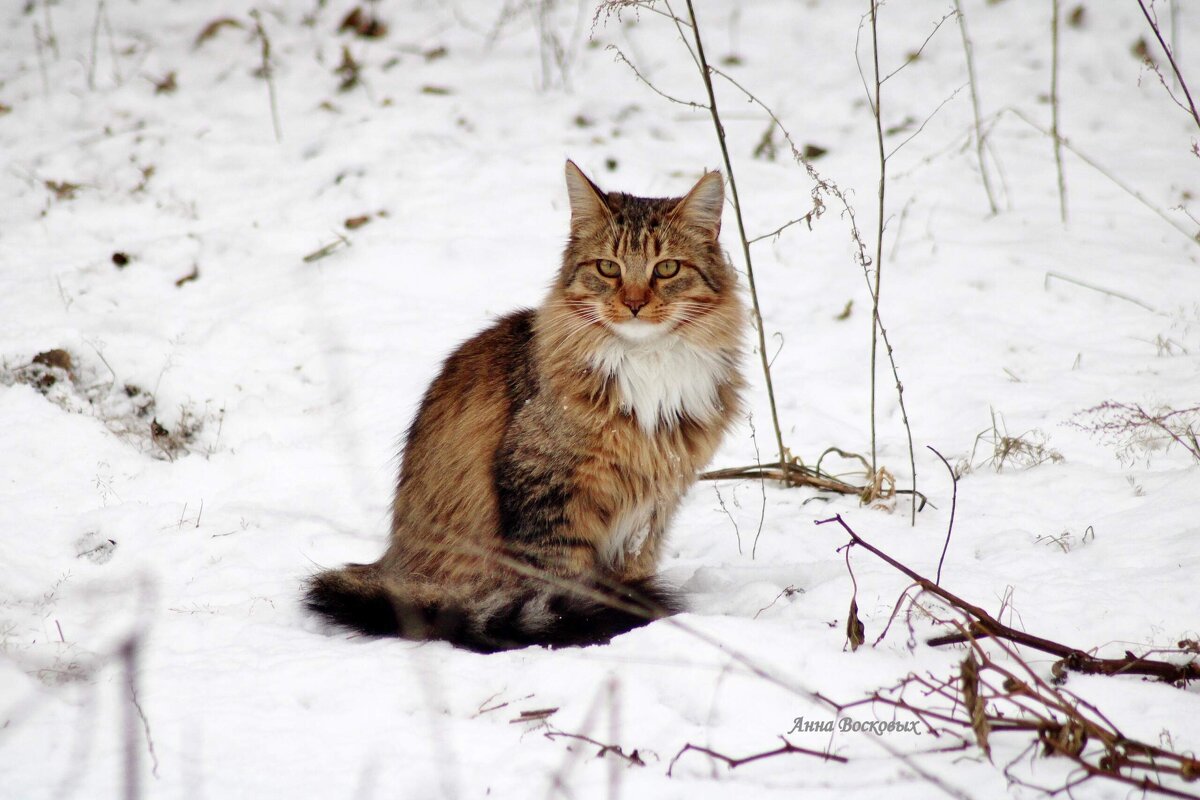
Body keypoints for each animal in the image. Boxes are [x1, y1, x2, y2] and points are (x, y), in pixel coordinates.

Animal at [304, 160, 744, 652]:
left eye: (666, 268)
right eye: (607, 268)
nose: (632, 303)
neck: (648, 364)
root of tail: (390, 564)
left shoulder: (652, 505)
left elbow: (632, 572)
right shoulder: (548, 488)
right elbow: (561, 583)